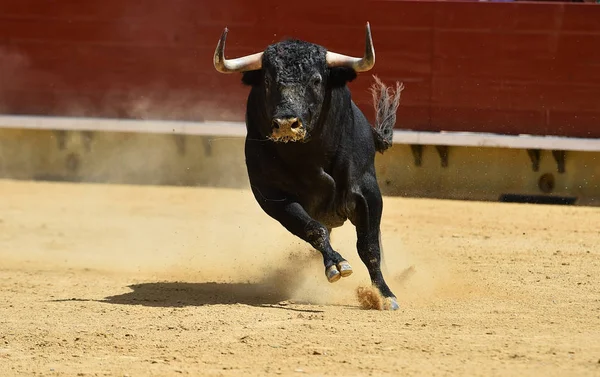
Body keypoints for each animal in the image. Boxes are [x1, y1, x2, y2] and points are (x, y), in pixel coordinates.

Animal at [213, 24, 406, 312]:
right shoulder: (273, 197)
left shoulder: (368, 192)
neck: (309, 155)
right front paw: (336, 265)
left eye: (316, 80)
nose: (285, 123)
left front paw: (384, 295)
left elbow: (369, 246)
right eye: (268, 81)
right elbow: (313, 229)